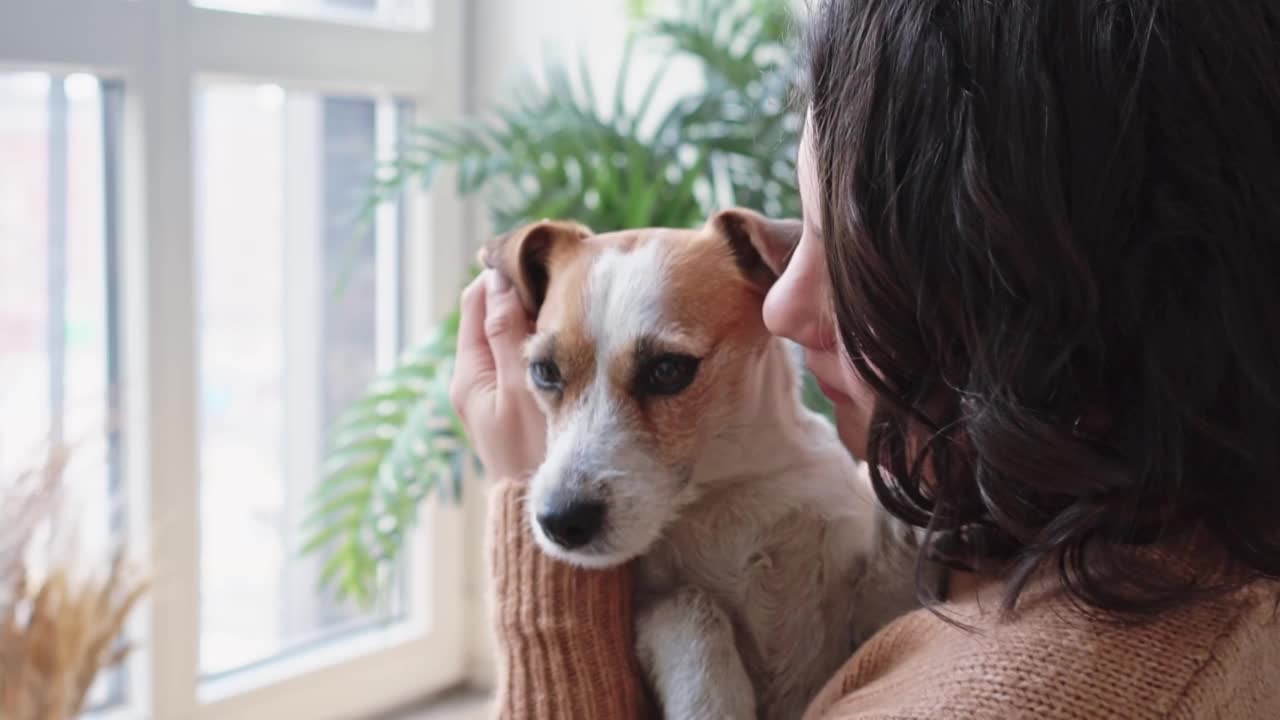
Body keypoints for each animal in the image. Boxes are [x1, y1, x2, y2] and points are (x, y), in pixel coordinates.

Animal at [481, 208, 921, 717]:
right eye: (545, 372)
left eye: (668, 370)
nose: (561, 522)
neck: (729, 492)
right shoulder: (652, 606)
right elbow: (692, 610)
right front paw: (712, 697)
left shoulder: (860, 605)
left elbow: (888, 577)